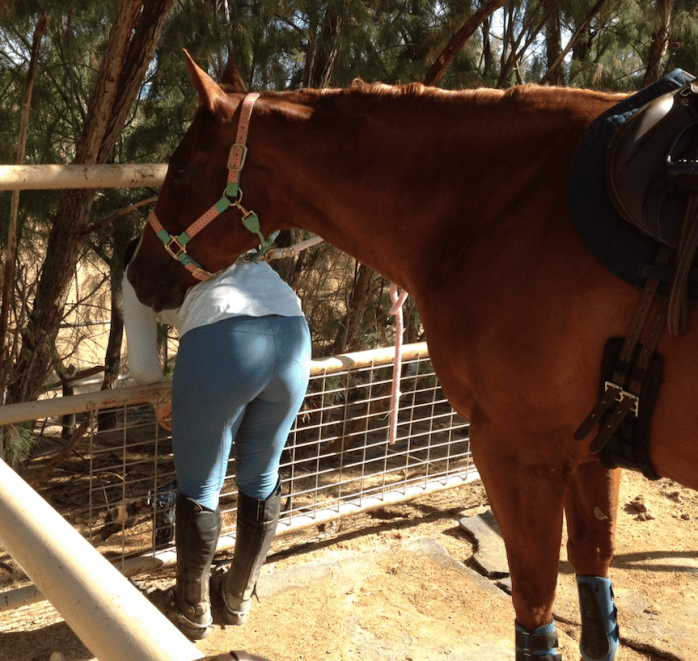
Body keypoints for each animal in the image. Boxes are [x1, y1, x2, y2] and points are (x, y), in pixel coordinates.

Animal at [127, 52, 698, 661]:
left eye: (180, 170)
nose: (137, 272)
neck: (503, 208)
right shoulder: (592, 450)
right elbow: (595, 610)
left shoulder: (519, 454)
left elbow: (536, 620)